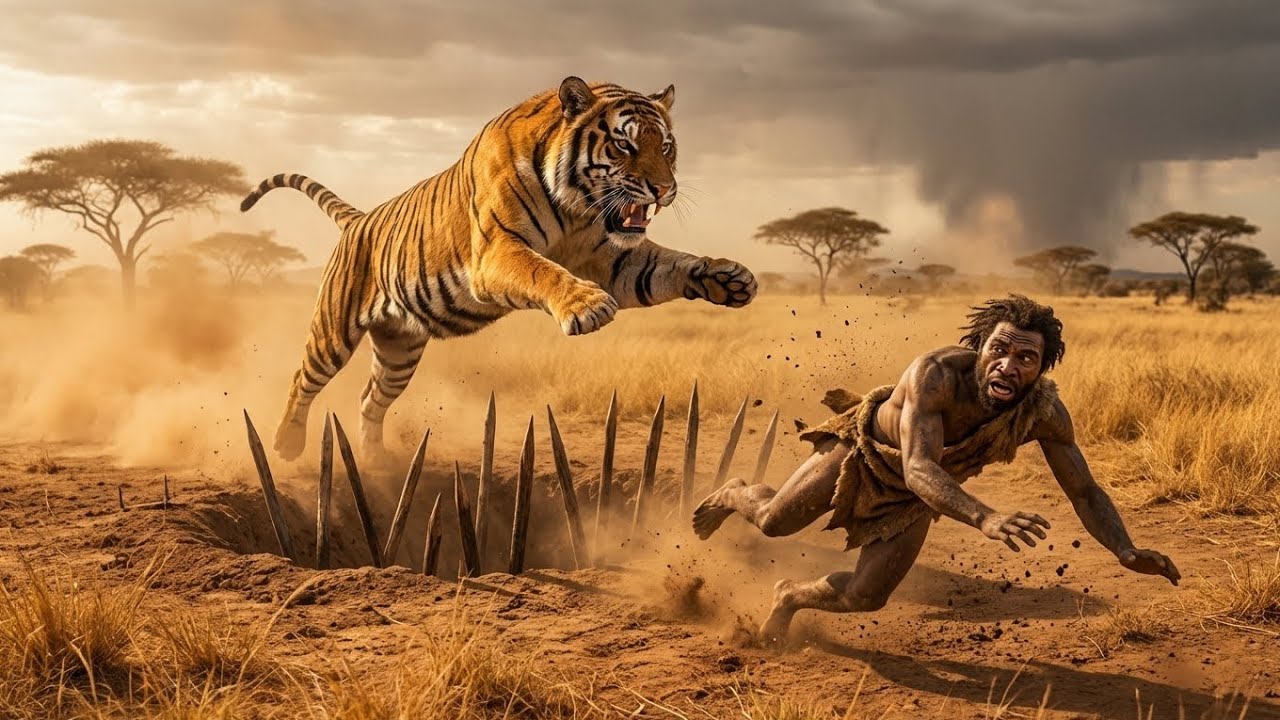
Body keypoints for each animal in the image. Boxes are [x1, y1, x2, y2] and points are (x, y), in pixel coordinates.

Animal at [241, 76, 758, 461]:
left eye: (666, 146)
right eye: (623, 145)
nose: (664, 189)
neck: (577, 206)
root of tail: (358, 219)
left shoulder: (616, 258)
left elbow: (671, 264)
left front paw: (727, 276)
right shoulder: (496, 253)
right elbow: (541, 271)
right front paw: (585, 306)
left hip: (398, 351)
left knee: (370, 400)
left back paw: (375, 462)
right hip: (333, 332)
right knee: (303, 379)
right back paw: (286, 444)